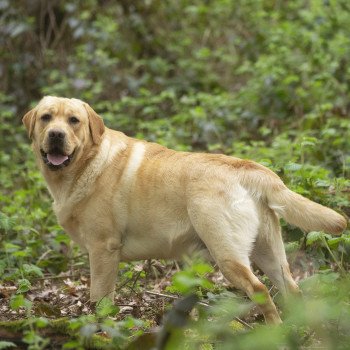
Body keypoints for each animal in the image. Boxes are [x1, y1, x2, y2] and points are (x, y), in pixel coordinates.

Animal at [22, 96, 348, 326]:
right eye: (46, 117)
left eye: (74, 121)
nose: (56, 134)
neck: (87, 162)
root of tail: (246, 167)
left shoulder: (103, 251)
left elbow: (100, 300)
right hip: (269, 252)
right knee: (292, 289)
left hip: (227, 254)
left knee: (261, 290)